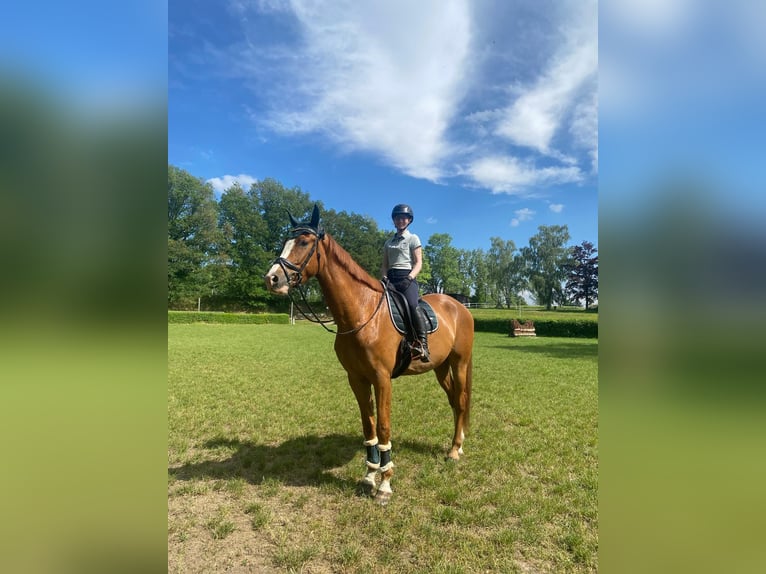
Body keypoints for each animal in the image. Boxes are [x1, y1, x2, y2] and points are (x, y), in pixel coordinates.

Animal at [264, 205, 474, 505]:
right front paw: (369, 476)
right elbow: (369, 426)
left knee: (462, 399)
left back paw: (455, 450)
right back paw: (456, 445)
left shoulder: (382, 378)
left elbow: (384, 426)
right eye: (286, 240)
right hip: (440, 367)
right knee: (455, 401)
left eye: (304, 242)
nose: (272, 279)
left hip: (460, 362)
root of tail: (459, 306)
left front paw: (385, 485)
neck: (362, 313)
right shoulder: (357, 378)